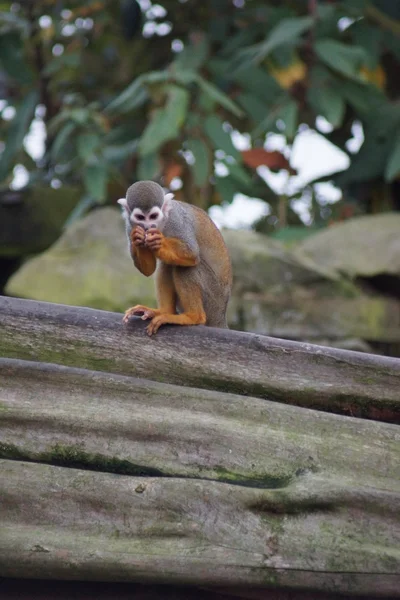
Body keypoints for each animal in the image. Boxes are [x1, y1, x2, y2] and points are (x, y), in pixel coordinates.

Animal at [117, 180, 233, 336]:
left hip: (213, 300)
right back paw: (164, 311)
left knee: (185, 267)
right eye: (141, 218)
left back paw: (193, 317)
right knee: (168, 264)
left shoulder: (177, 220)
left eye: (153, 216)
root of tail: (221, 315)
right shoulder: (130, 226)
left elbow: (192, 252)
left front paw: (160, 242)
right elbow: (148, 270)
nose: (149, 226)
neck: (162, 223)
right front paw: (139, 238)